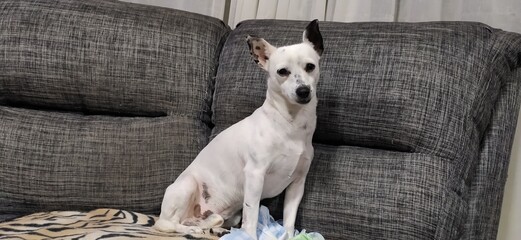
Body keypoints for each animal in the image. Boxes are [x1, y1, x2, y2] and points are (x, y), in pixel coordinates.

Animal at [154, 20, 322, 240]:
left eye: (310, 66)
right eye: (282, 71)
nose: (303, 91)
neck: (290, 124)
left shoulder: (297, 185)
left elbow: (288, 222)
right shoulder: (255, 176)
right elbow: (251, 218)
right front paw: (248, 236)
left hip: (227, 216)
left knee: (210, 220)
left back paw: (214, 229)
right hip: (187, 187)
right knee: (168, 223)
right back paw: (191, 230)